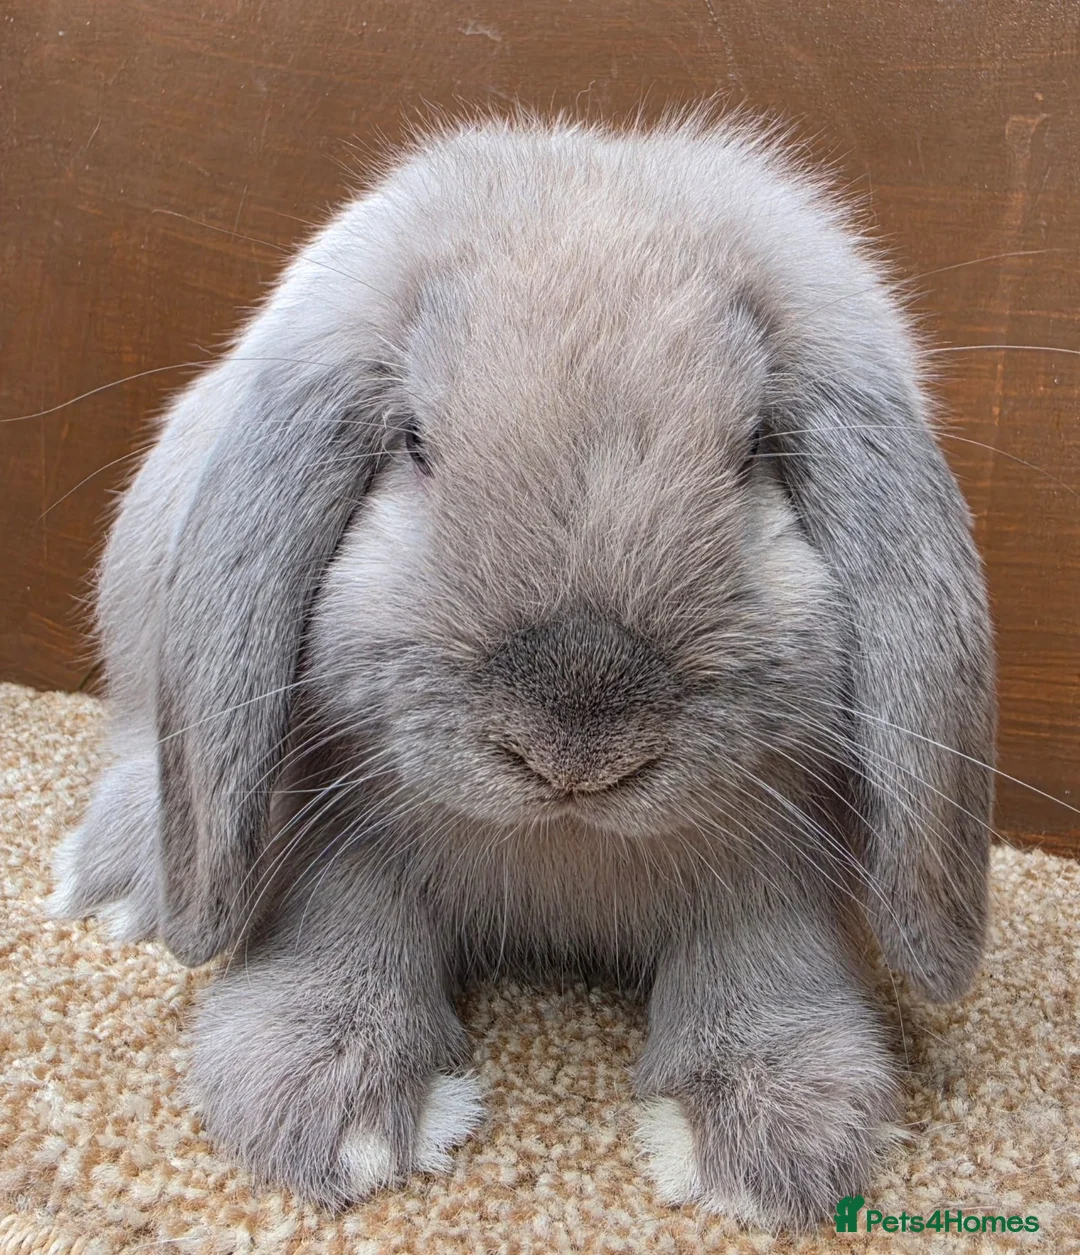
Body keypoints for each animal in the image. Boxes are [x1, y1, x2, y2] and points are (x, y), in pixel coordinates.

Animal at [49, 112, 995, 1230]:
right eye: (412, 443)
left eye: (755, 448)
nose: (575, 740)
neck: (563, 846)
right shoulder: (328, 832)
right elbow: (349, 918)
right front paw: (332, 1104)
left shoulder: (776, 865)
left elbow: (763, 951)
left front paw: (767, 1134)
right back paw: (125, 884)